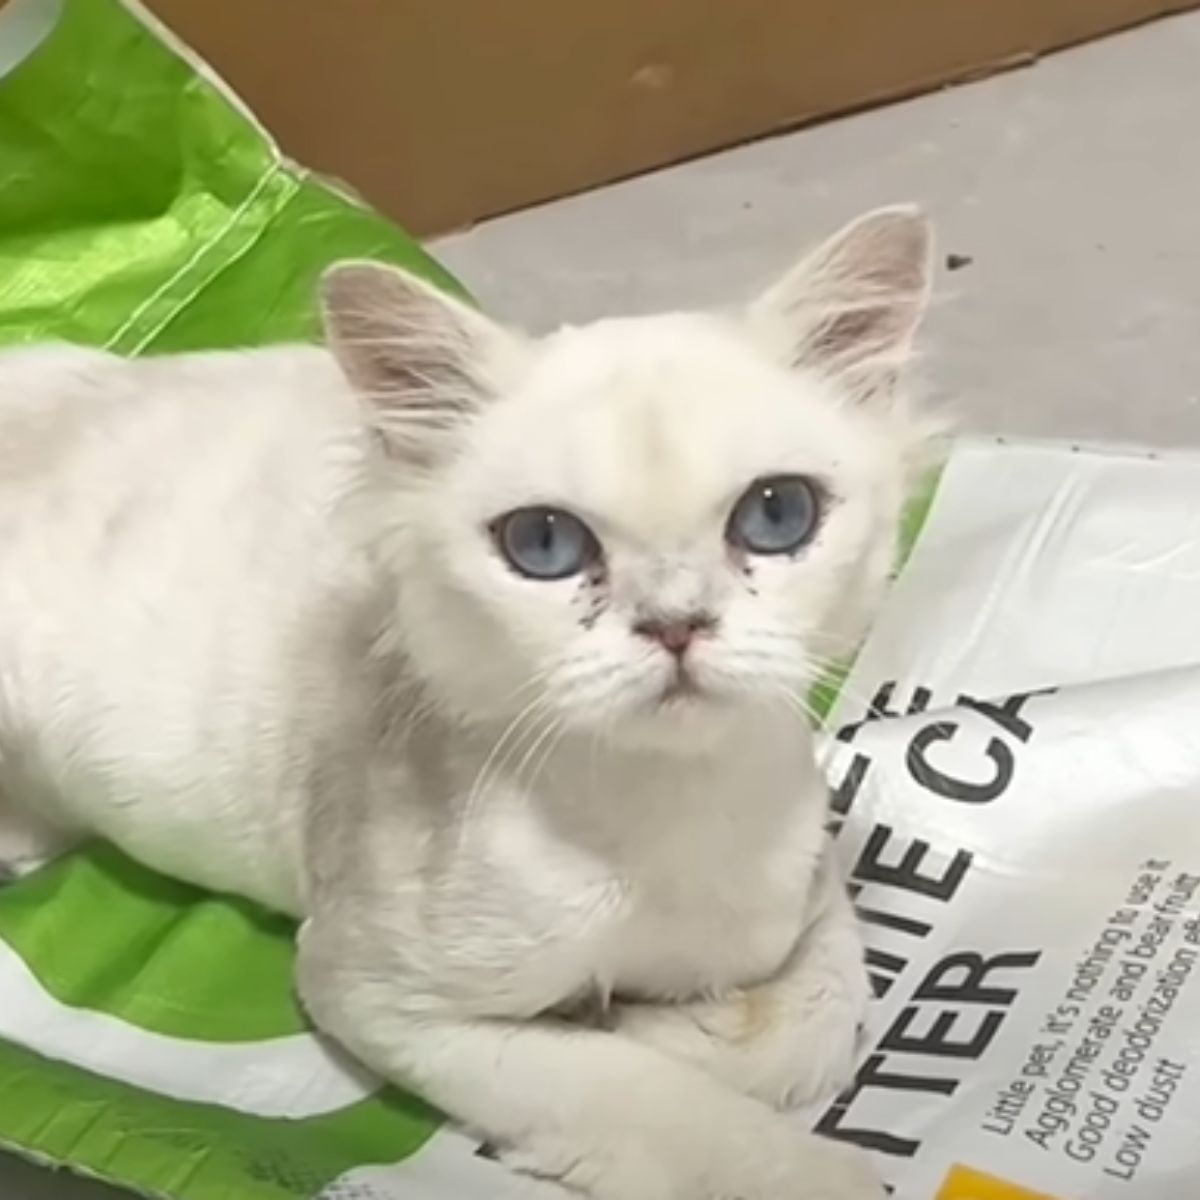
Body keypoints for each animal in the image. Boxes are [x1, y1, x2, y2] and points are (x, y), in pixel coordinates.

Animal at [0, 208, 936, 1200]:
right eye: (544, 542)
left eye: (777, 515)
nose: (676, 624)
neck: (662, 813)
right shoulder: (368, 986)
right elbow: (636, 1093)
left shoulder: (809, 869)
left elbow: (826, 1003)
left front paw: (665, 1018)